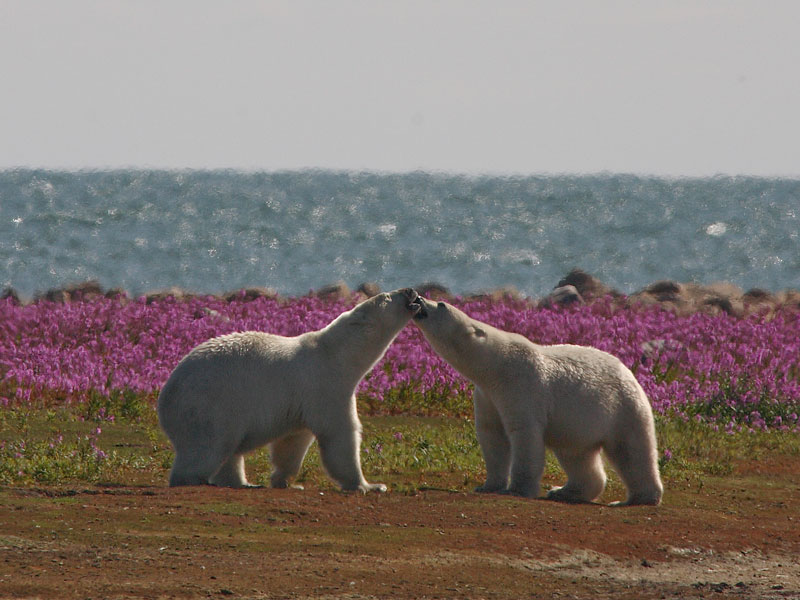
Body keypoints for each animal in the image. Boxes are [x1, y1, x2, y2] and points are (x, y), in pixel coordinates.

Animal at [156, 288, 422, 490]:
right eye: (386, 296)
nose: (411, 291)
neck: (335, 352)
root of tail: (165, 395)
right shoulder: (326, 385)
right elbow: (340, 434)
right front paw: (369, 485)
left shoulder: (301, 400)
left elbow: (293, 441)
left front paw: (285, 480)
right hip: (210, 405)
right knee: (208, 447)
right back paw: (195, 479)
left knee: (230, 453)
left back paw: (242, 482)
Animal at [412, 298, 664, 504]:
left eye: (441, 304)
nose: (418, 298)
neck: (496, 365)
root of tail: (630, 372)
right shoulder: (487, 395)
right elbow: (492, 436)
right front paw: (486, 486)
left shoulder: (520, 385)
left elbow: (523, 433)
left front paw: (517, 489)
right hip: (577, 424)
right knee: (577, 455)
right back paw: (564, 491)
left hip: (623, 407)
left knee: (632, 450)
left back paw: (638, 498)